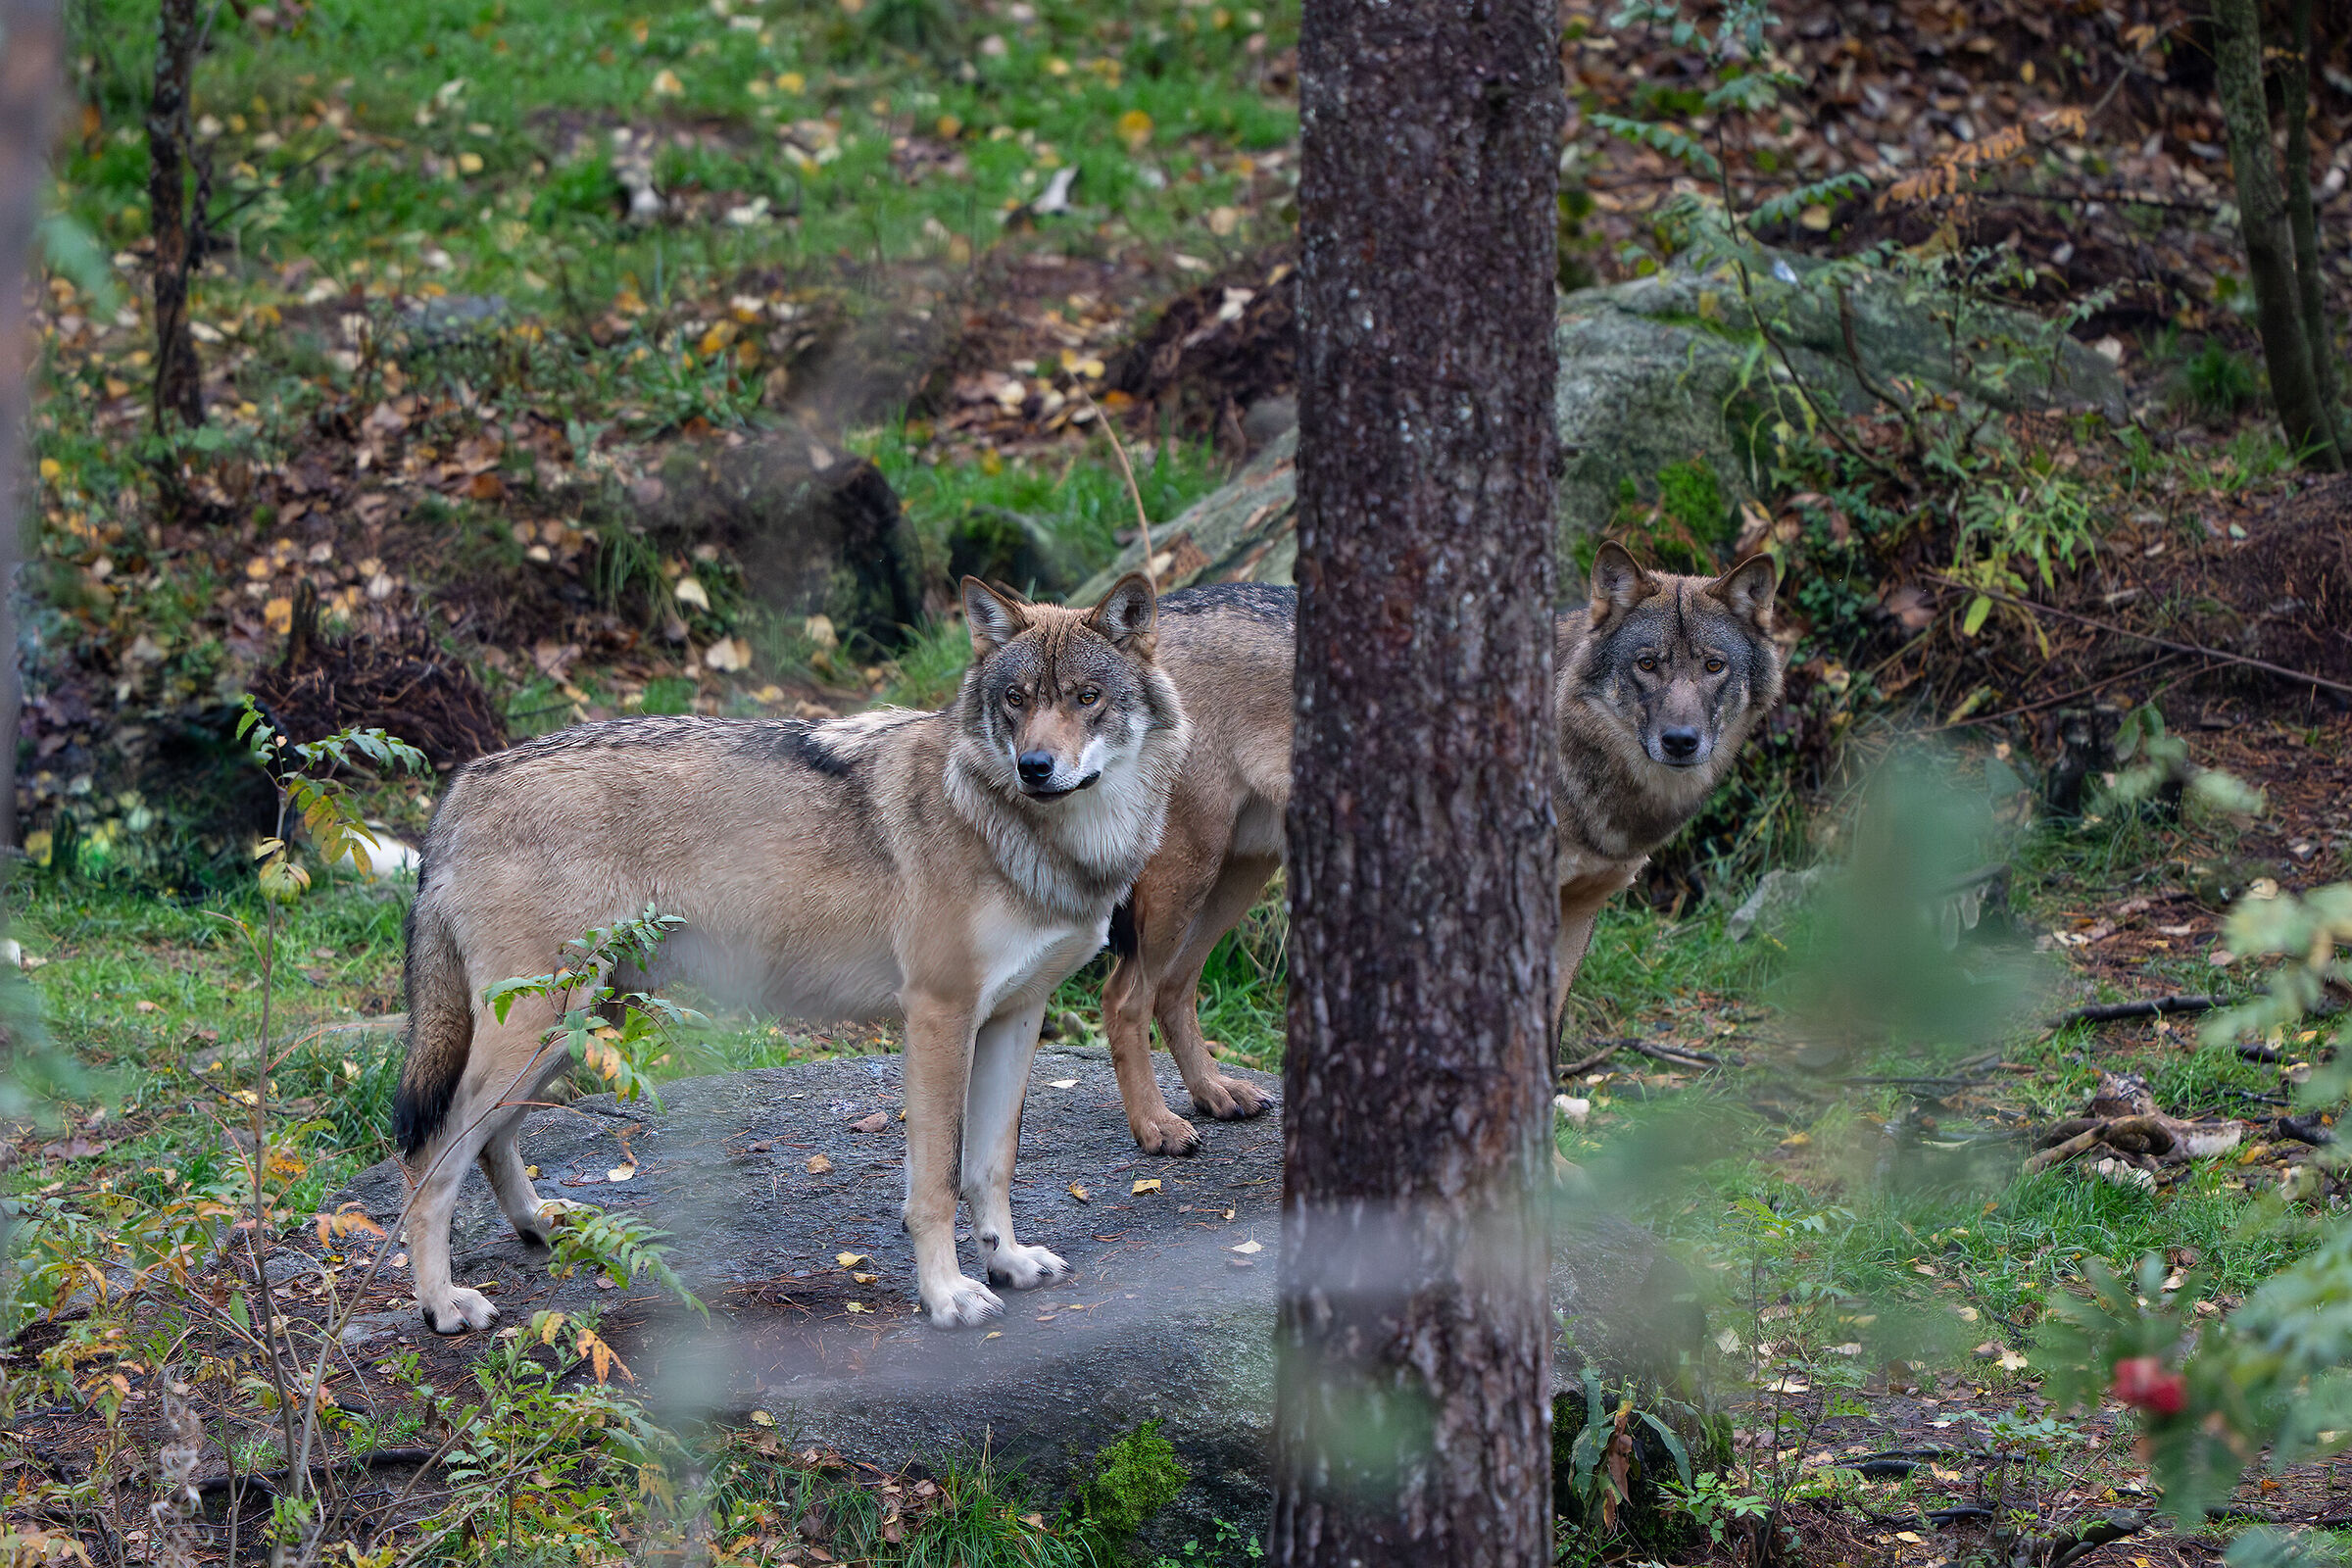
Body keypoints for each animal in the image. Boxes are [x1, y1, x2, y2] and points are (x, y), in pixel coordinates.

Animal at [390, 574, 1186, 1333]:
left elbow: (992, 1167)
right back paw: (442, 1306)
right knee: (429, 1158)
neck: (1041, 839)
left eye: (1086, 698)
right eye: (1016, 700)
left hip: (573, 1027)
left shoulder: (1016, 1017)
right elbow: (935, 1184)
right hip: (545, 1024)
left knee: (492, 1139)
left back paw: (541, 1226)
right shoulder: (939, 1016)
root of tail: (466, 781)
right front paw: (947, 1296)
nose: (1034, 766)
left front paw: (1009, 1261)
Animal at [1102, 542, 1782, 1154]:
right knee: (1124, 997)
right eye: (1647, 664)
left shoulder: (1580, 915)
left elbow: (1549, 1054)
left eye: (1713, 667)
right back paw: (1157, 1127)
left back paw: (1214, 1093)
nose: (1681, 740)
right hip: (1188, 875)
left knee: (1173, 987)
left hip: (1240, 873)